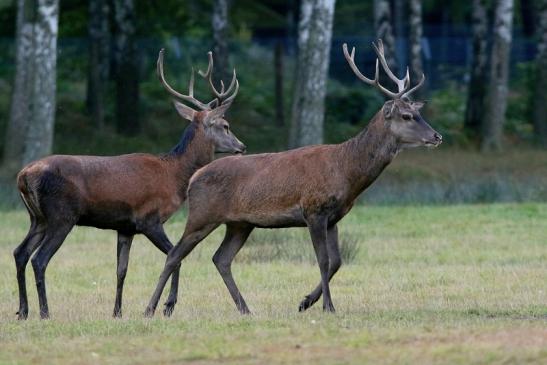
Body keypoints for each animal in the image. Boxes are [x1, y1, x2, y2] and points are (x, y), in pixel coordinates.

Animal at [13, 49, 245, 318]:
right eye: (225, 125)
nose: (242, 147)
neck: (174, 175)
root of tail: (24, 175)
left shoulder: (125, 227)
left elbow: (121, 270)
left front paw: (117, 312)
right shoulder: (149, 219)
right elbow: (174, 256)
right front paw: (168, 305)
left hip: (38, 218)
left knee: (20, 252)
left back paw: (23, 311)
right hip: (62, 215)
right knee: (39, 259)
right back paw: (44, 312)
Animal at [144, 39, 440, 316]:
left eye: (419, 112)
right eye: (407, 115)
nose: (436, 136)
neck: (346, 172)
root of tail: (195, 176)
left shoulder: (334, 217)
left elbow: (337, 261)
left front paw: (305, 302)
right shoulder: (313, 210)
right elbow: (323, 260)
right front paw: (327, 306)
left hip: (240, 223)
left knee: (221, 258)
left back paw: (245, 308)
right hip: (202, 215)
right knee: (175, 253)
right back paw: (151, 308)